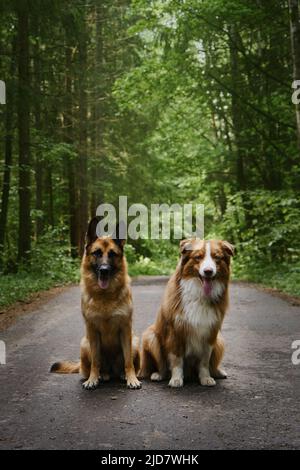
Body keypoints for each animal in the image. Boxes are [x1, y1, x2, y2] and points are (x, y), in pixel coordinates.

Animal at [51, 218, 141, 392]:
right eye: (97, 253)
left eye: (112, 254)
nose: (104, 270)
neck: (105, 296)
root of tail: (112, 370)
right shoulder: (92, 331)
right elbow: (95, 361)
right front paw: (92, 379)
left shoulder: (125, 329)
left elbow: (128, 362)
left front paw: (132, 379)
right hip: (85, 344)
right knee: (93, 366)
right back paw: (100, 375)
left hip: (134, 341)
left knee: (126, 364)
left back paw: (122, 374)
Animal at [139, 241, 233, 388]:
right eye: (198, 257)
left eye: (217, 258)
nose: (208, 271)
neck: (199, 294)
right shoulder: (175, 331)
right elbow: (177, 359)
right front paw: (176, 379)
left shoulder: (210, 332)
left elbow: (205, 361)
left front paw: (205, 378)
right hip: (150, 336)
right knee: (161, 366)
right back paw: (158, 374)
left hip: (219, 340)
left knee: (212, 364)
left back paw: (217, 372)